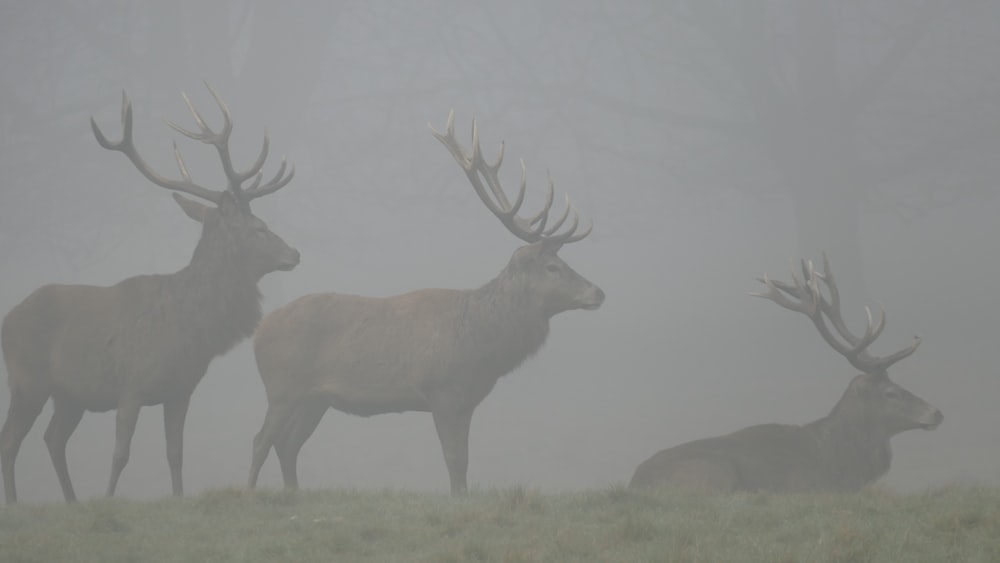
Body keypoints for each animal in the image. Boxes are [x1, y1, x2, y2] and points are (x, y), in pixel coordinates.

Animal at [0, 85, 296, 506]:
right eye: (258, 227)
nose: (295, 254)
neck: (187, 331)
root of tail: (9, 317)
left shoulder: (180, 390)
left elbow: (175, 452)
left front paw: (178, 498)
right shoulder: (131, 384)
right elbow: (121, 452)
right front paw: (108, 500)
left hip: (70, 395)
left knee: (53, 439)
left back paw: (72, 502)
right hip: (27, 380)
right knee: (11, 440)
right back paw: (14, 504)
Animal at [246, 110, 604, 494]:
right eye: (553, 267)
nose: (599, 292)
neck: (480, 346)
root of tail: (259, 331)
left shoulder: (467, 400)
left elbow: (465, 460)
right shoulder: (439, 389)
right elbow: (453, 458)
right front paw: (457, 498)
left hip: (315, 398)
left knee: (288, 444)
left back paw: (293, 494)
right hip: (281, 387)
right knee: (261, 440)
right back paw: (250, 493)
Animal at [628, 256, 940, 494]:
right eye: (890, 392)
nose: (937, 413)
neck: (841, 463)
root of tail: (634, 485)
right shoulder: (809, 488)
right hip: (714, 471)